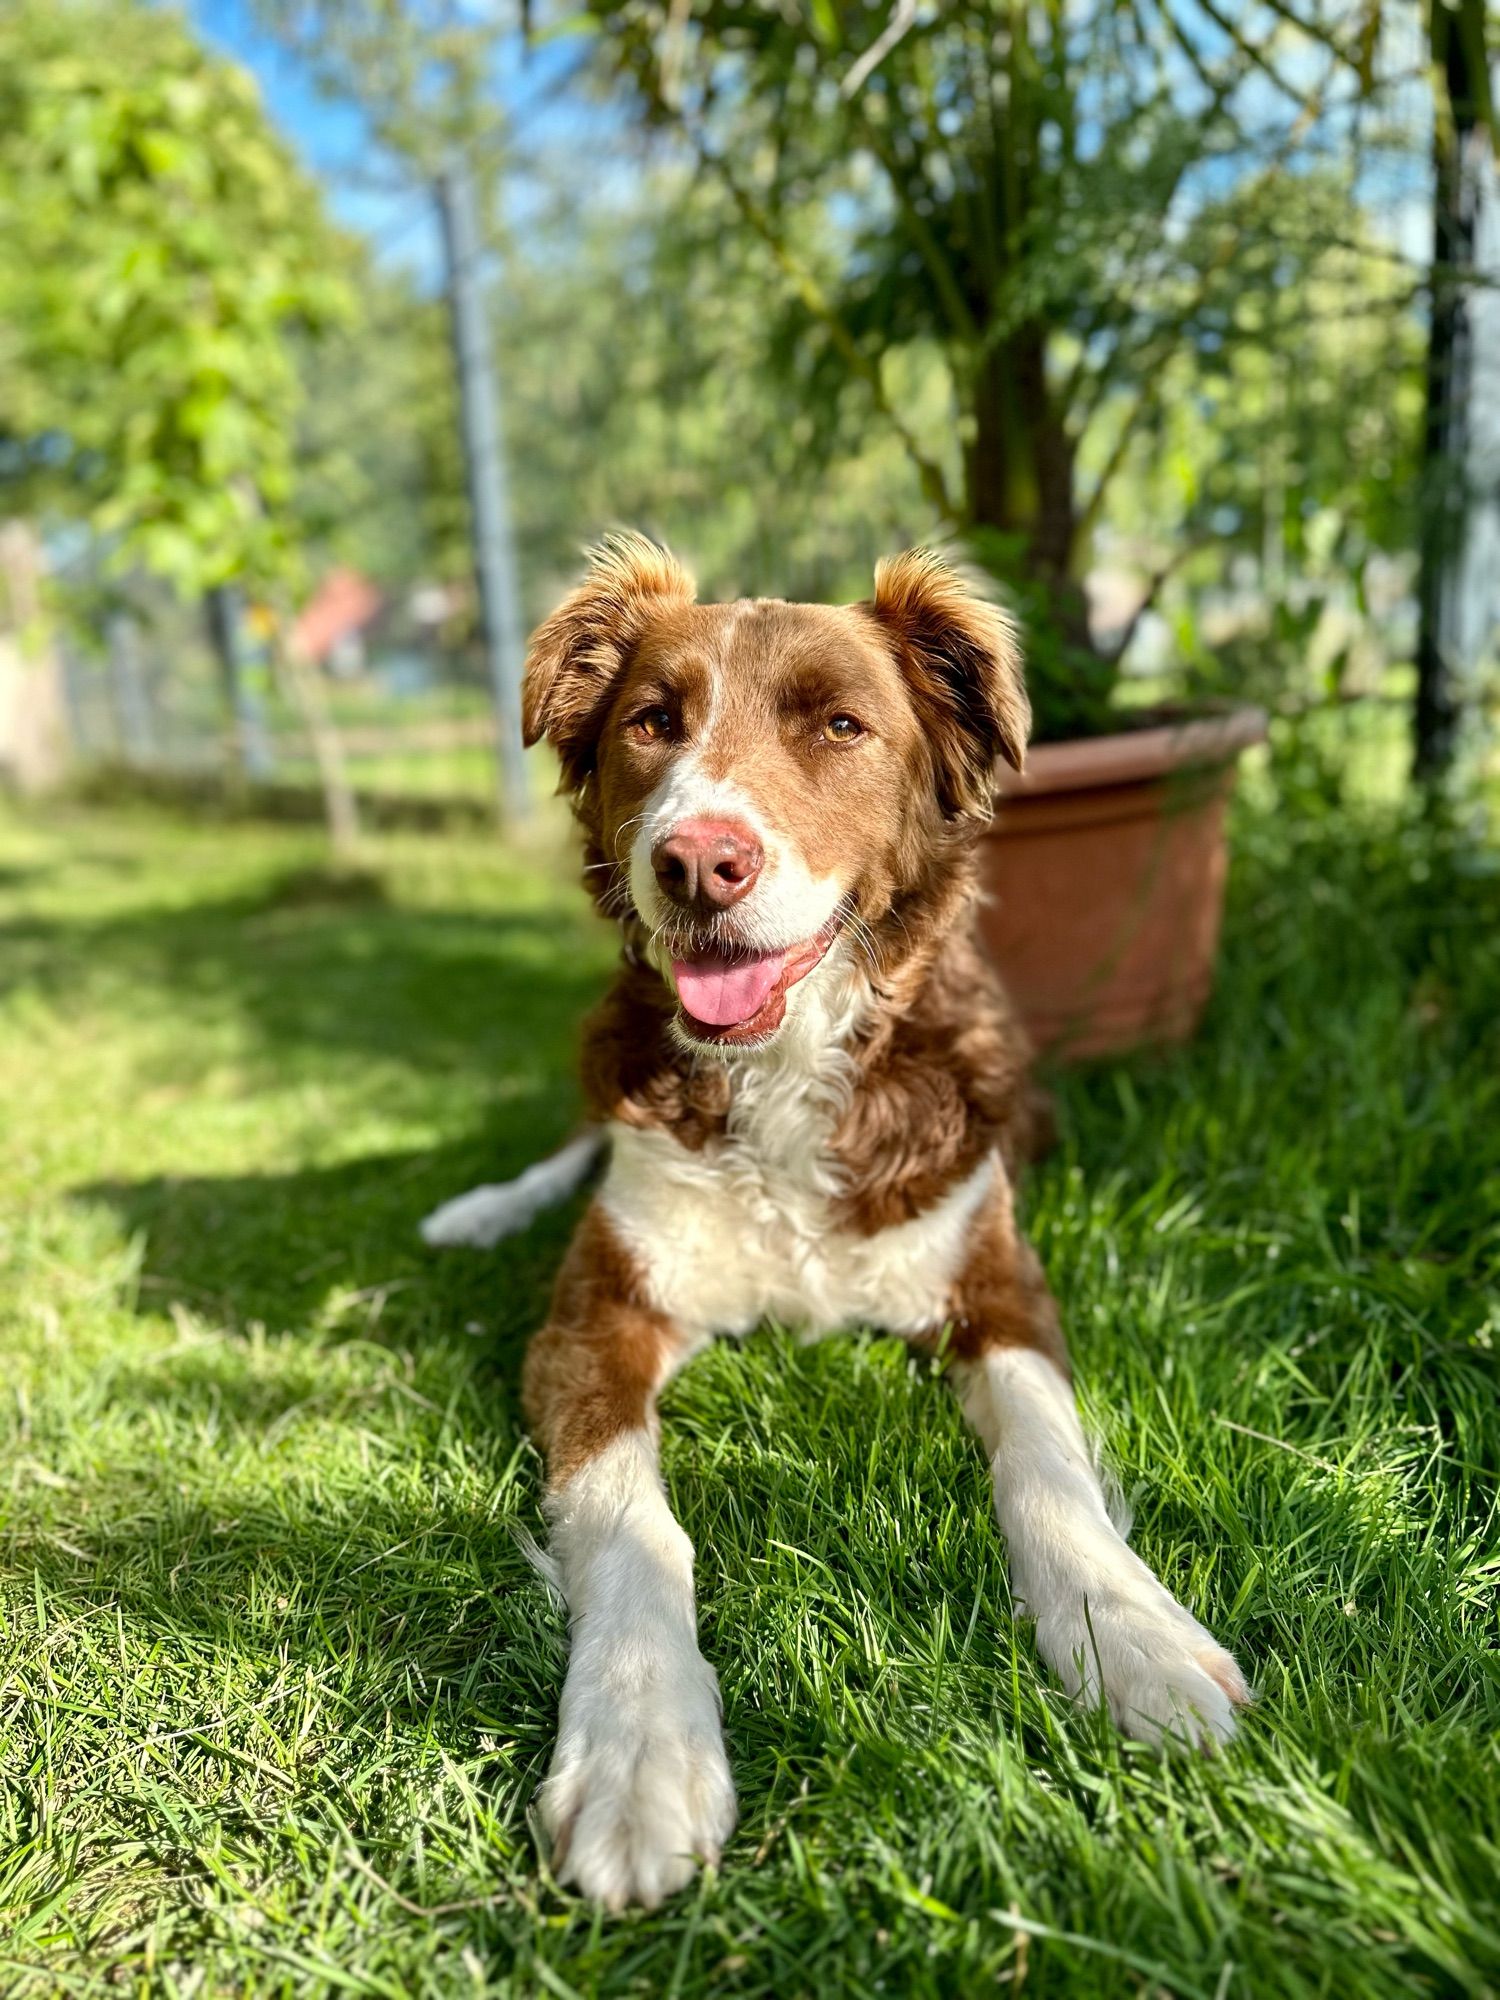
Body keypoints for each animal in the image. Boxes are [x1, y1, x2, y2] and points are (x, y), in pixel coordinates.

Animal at [418, 540, 1248, 1912]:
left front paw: (1136, 1638)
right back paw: (477, 1209)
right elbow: (629, 1516)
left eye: (841, 725)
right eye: (652, 722)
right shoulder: (594, 1315)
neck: (786, 1071)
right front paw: (640, 1749)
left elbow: (1048, 1464)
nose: (697, 863)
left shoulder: (999, 1285)